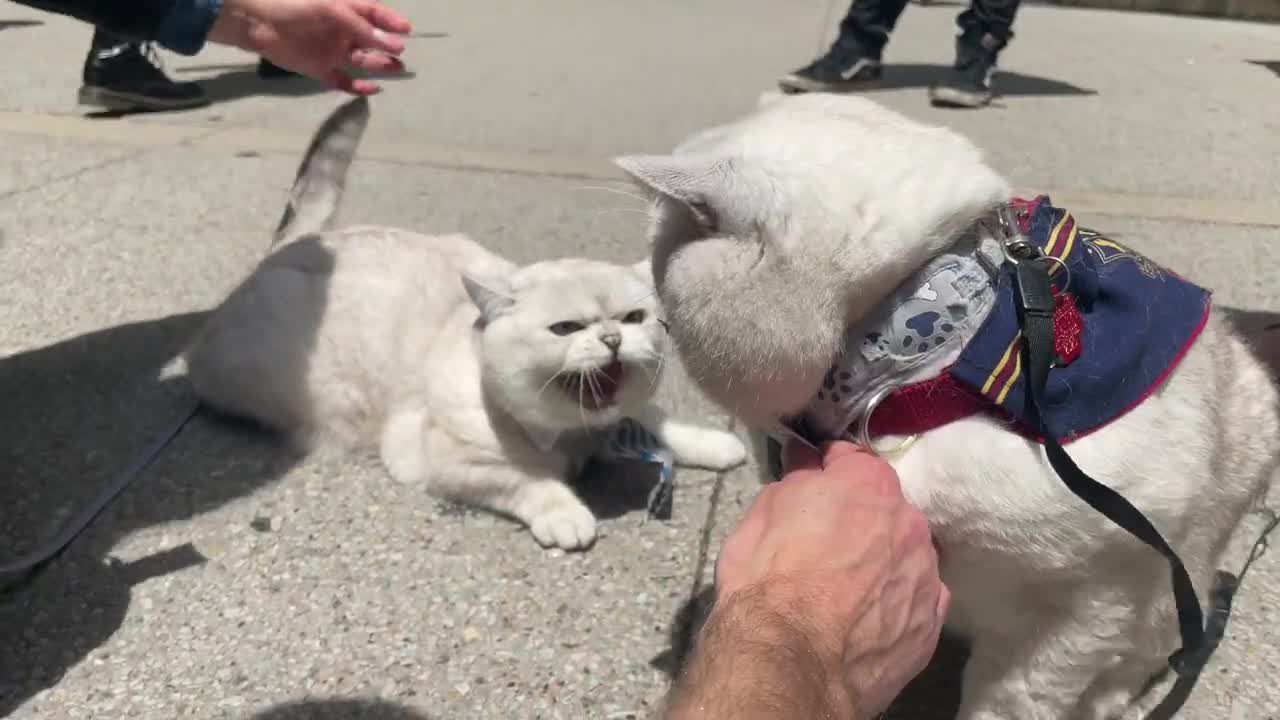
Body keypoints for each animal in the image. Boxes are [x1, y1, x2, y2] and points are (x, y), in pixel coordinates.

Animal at [186, 96, 752, 548]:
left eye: (633, 318)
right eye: (566, 329)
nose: (612, 339)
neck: (574, 437)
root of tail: (293, 245)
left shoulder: (623, 416)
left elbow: (657, 420)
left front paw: (713, 442)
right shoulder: (444, 460)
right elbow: (528, 481)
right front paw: (565, 512)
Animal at [614, 90, 1274, 717]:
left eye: (659, 259)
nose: (646, 298)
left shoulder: (1088, 606)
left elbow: (1013, 702)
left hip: (1178, 575)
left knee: (1151, 649)